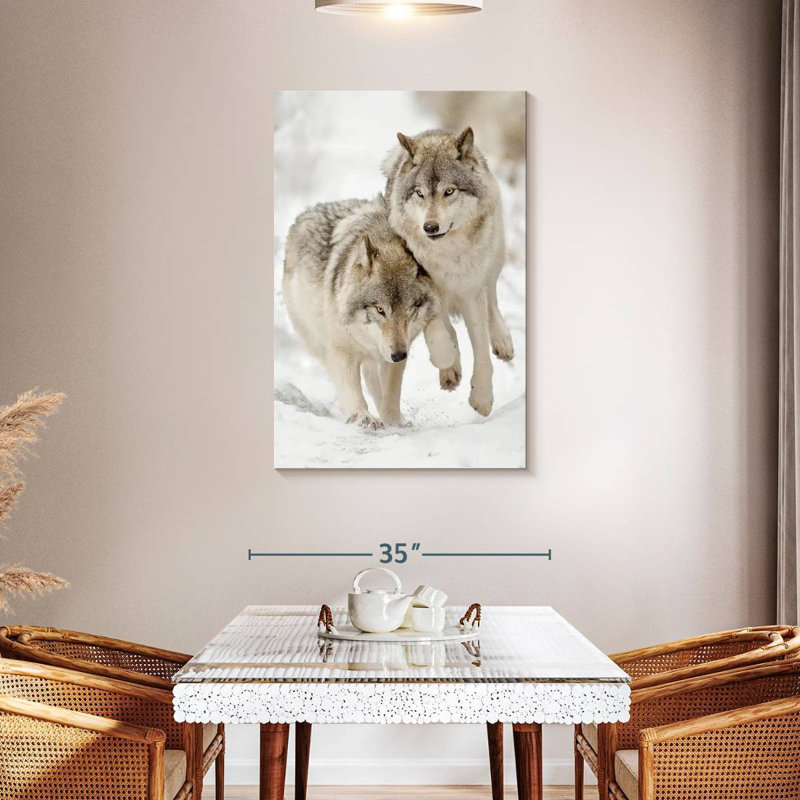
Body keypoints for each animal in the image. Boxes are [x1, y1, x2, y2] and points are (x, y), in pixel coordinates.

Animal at [283, 196, 456, 429]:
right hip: (318, 342)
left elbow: (390, 394)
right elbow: (353, 392)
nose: (399, 355)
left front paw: (394, 422)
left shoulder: (397, 351)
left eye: (410, 309)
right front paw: (362, 417)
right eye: (380, 310)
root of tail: (305, 214)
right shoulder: (342, 351)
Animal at [383, 127, 513, 417]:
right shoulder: (426, 287)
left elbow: (481, 348)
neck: (447, 257)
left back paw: (503, 341)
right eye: (420, 193)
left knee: (492, 299)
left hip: (494, 258)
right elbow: (440, 333)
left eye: (449, 191)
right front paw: (448, 362)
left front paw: (482, 398)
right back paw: (451, 369)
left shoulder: (471, 290)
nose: (430, 227)